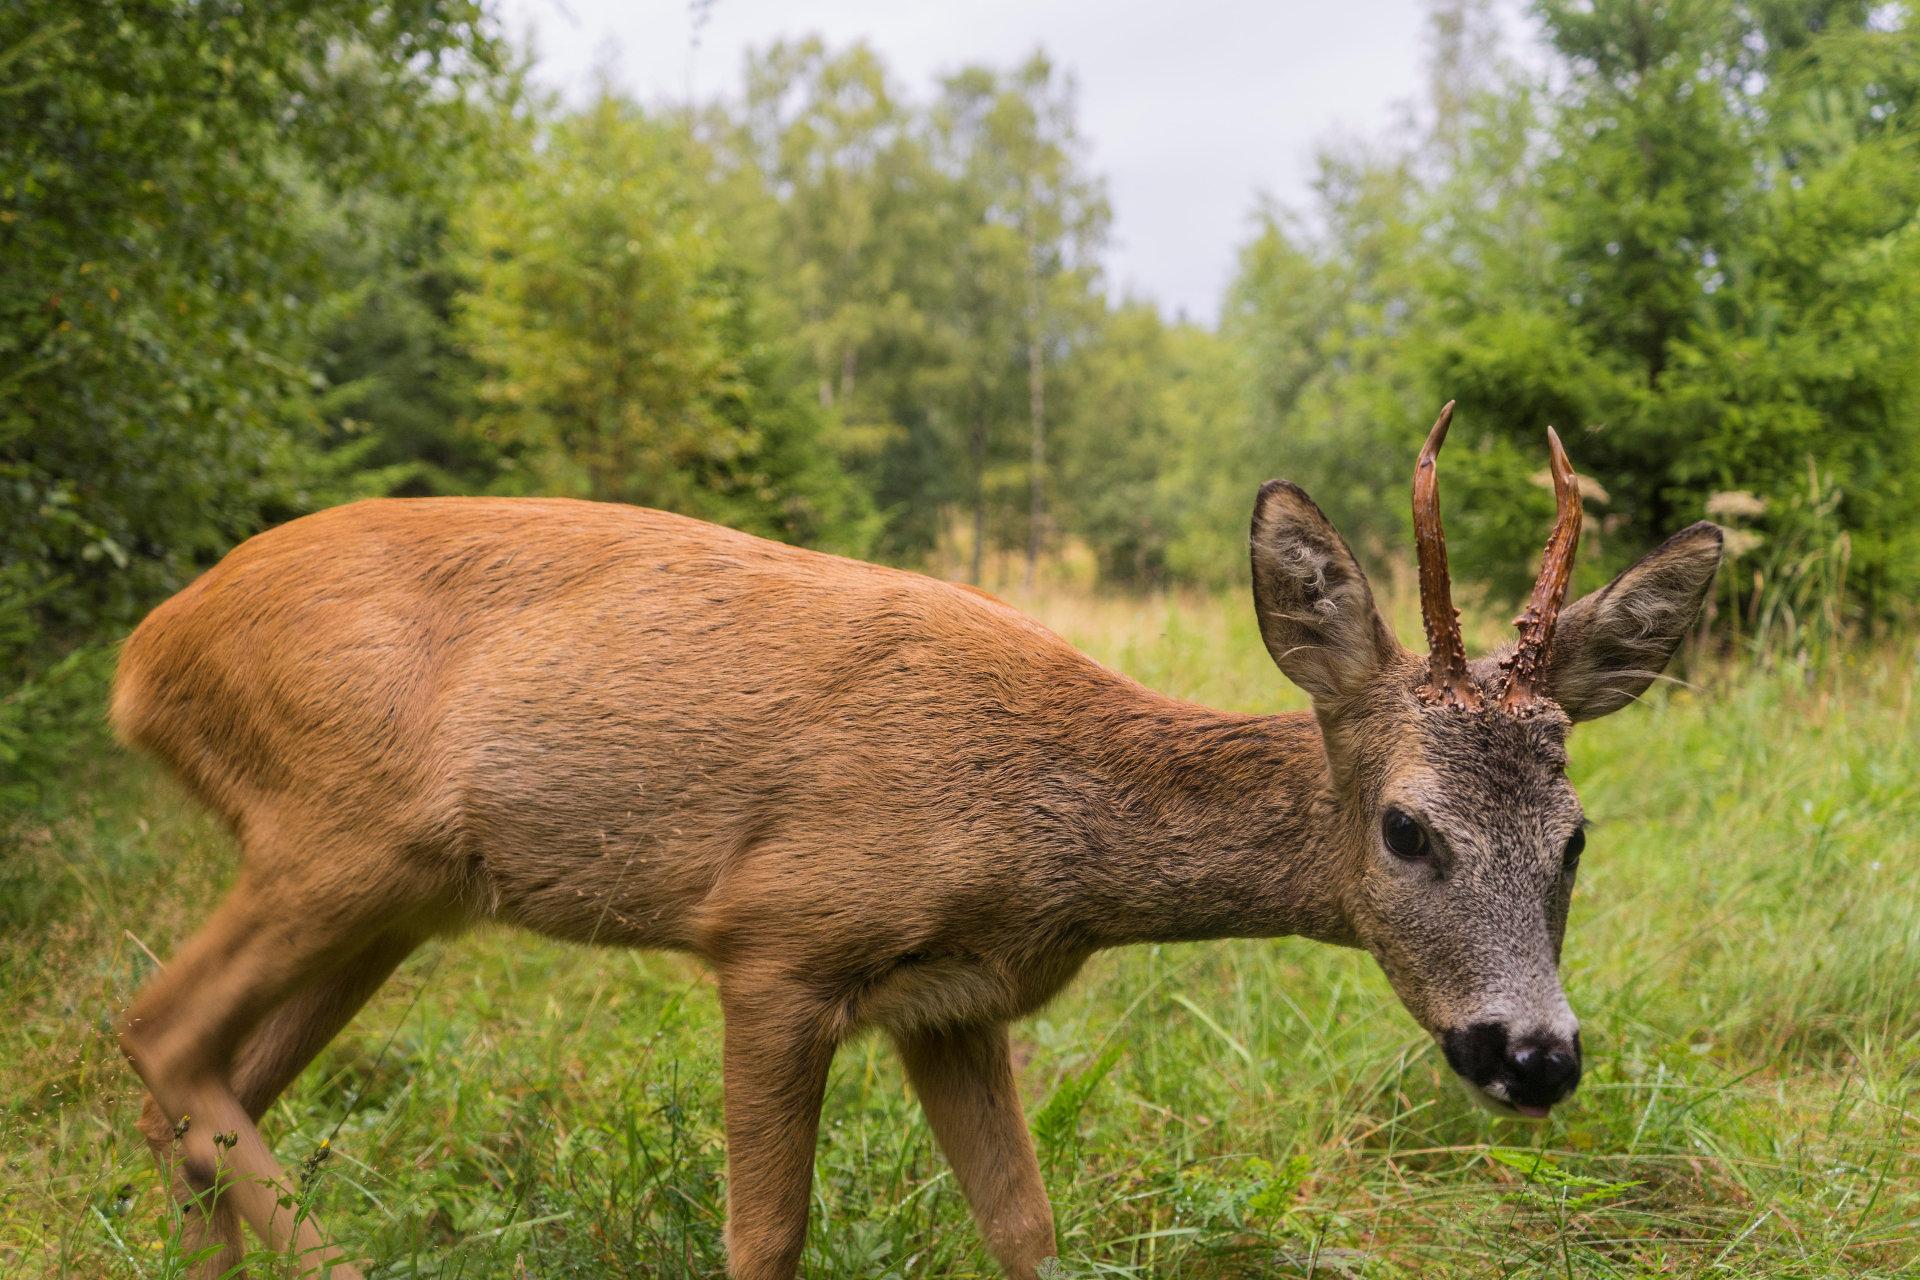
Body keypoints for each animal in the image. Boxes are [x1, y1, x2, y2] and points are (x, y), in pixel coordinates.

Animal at [120, 408, 1728, 1280]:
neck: (1042, 827)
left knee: (204, 1086)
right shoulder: (778, 938)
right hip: (339, 829)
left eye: (1578, 838)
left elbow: (1025, 1225)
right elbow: (765, 1237)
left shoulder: (951, 1003)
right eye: (1406, 827)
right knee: (158, 1031)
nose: (1537, 1056)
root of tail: (150, 653)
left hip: (394, 897)